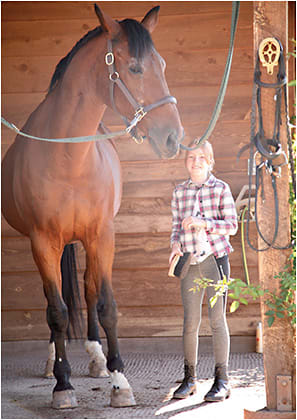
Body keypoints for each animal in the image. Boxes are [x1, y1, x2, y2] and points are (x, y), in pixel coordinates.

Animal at [1, 3, 183, 410]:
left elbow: (106, 306)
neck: (70, 161)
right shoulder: (42, 241)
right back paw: (53, 361)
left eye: (164, 65)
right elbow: (56, 311)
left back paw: (97, 359)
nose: (172, 138)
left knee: (87, 290)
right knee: (57, 301)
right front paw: (62, 385)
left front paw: (120, 382)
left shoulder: (103, 235)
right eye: (135, 68)